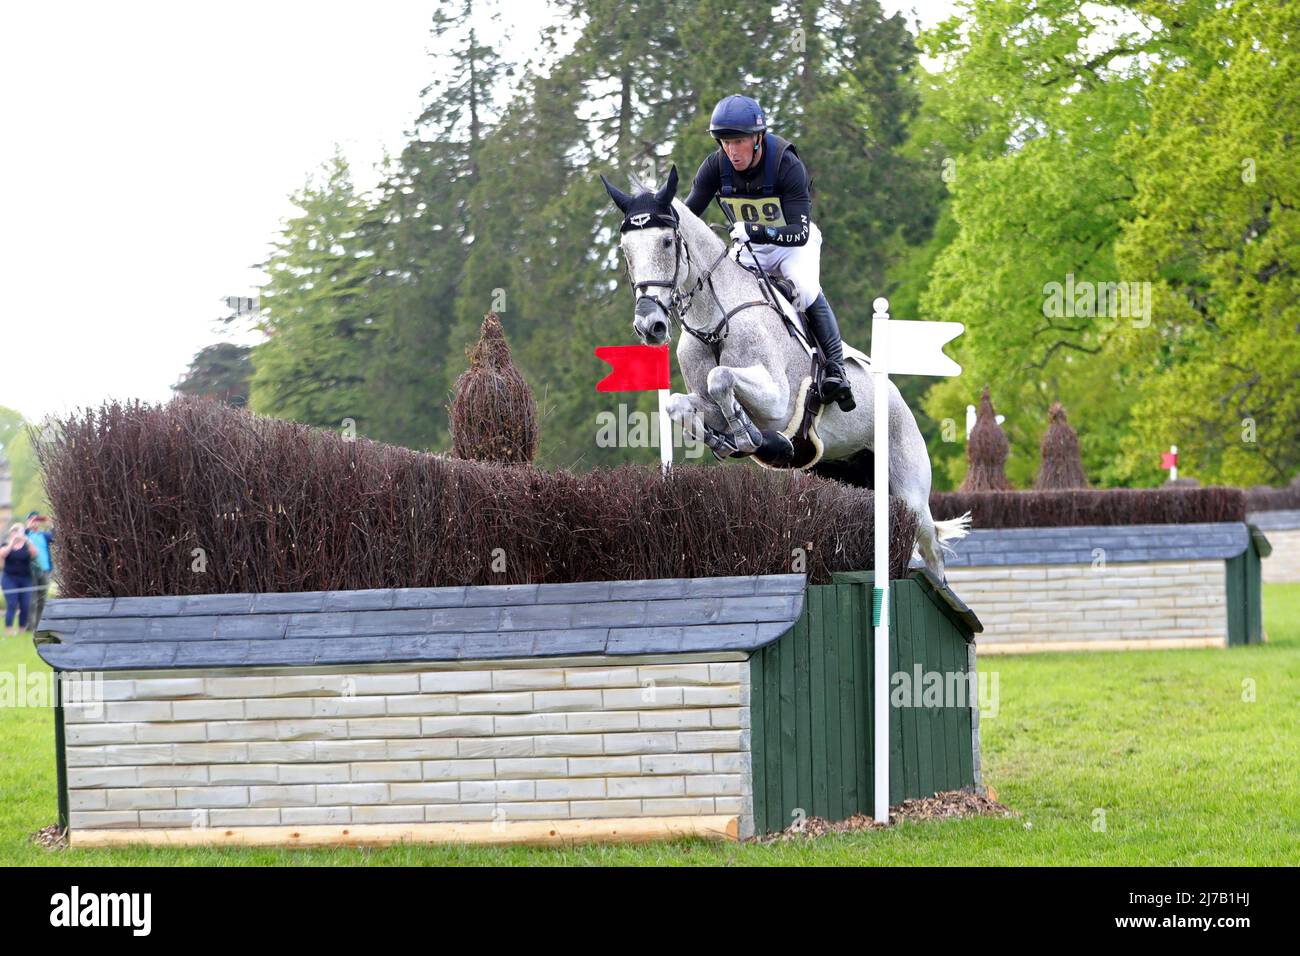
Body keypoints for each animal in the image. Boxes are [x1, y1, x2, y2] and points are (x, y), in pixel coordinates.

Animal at [598, 165, 967, 582]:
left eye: (665, 242)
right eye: (625, 250)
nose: (650, 326)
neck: (715, 323)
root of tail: (898, 399)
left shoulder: (776, 402)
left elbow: (721, 378)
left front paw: (751, 437)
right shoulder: (704, 401)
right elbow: (680, 404)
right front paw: (725, 439)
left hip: (909, 487)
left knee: (931, 548)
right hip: (846, 473)